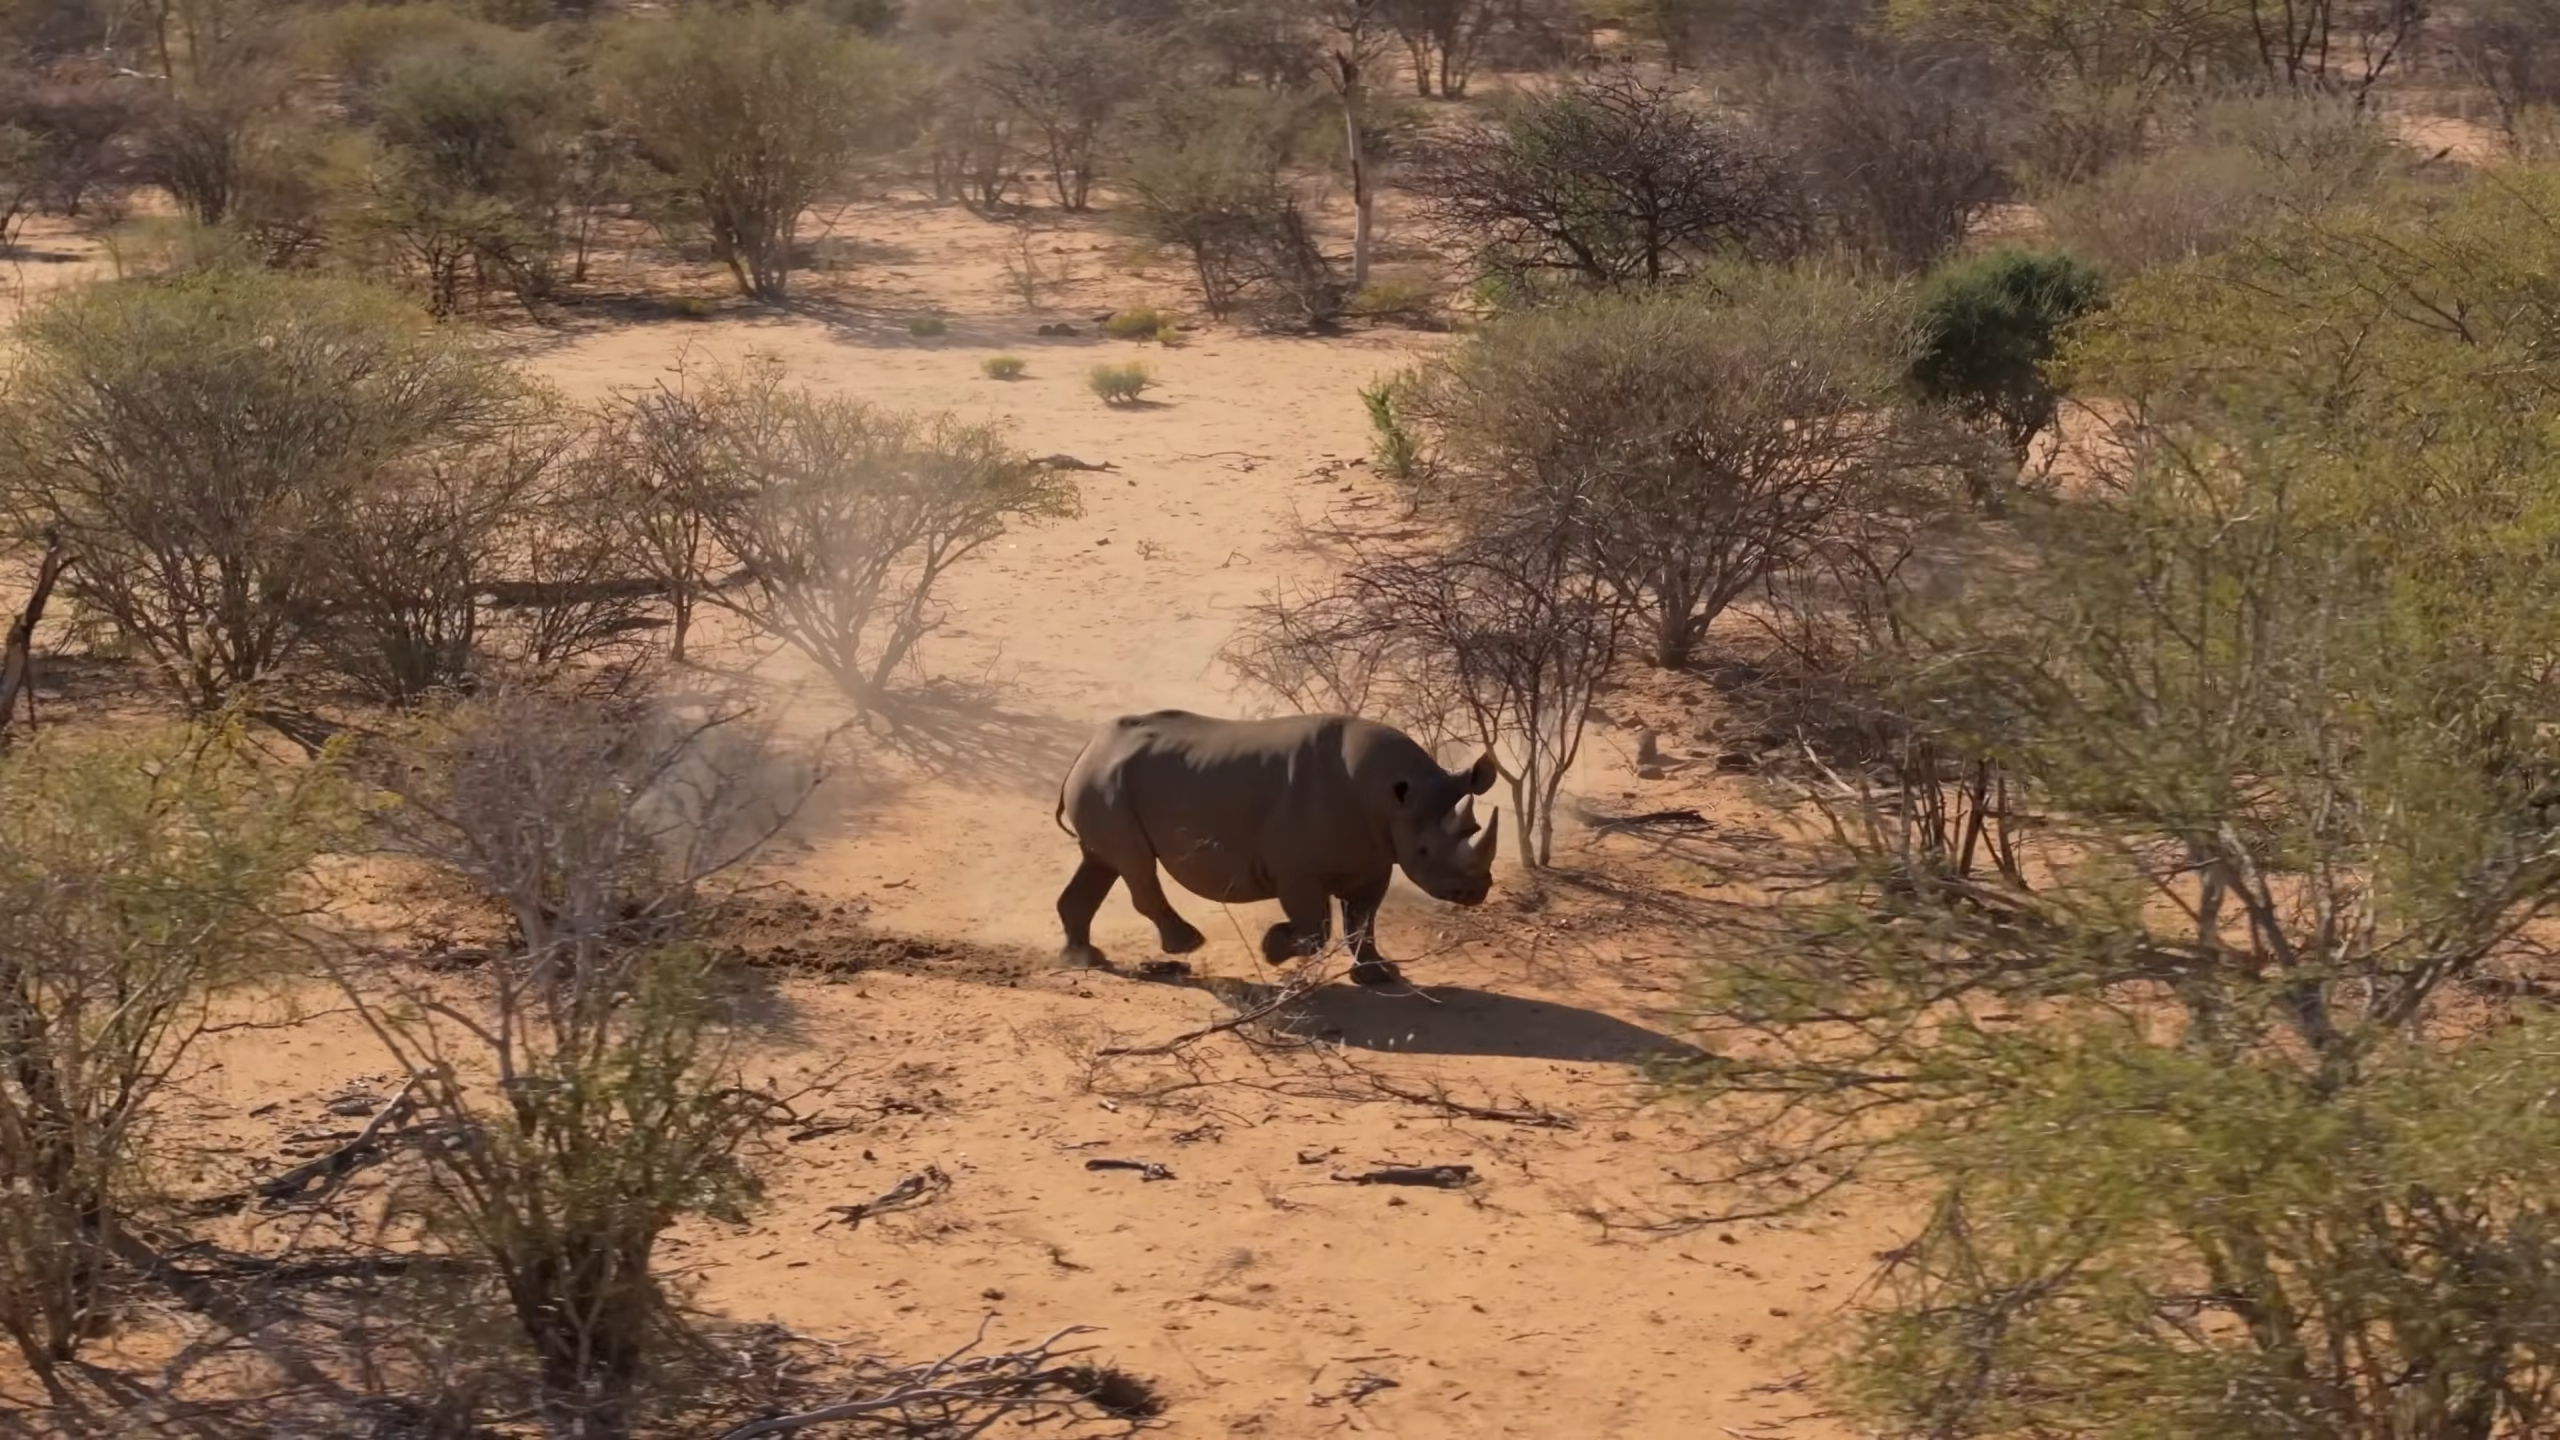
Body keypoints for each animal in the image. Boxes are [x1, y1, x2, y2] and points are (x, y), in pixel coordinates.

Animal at [1053, 709, 1501, 987]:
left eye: (1475, 827)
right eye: (1424, 852)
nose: (1475, 892)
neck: (1392, 798)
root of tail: (1088, 748)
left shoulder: (1376, 860)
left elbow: (1362, 921)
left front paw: (1378, 976)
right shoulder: (1298, 870)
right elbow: (1316, 927)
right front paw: (1272, 949)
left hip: (1108, 783)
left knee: (1102, 862)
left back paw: (1083, 958)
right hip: (1107, 784)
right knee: (1135, 864)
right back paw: (1186, 944)